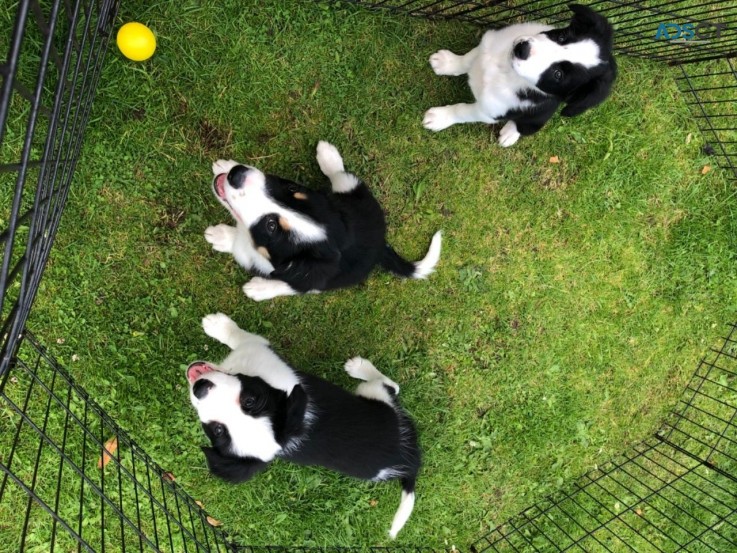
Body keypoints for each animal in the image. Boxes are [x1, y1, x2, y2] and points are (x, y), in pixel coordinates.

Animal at [185, 312, 420, 536]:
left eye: (249, 401)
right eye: (217, 430)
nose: (200, 388)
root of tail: (409, 461)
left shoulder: (262, 351)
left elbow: (239, 337)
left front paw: (217, 325)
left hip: (374, 396)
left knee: (391, 386)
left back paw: (359, 367)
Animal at [204, 140, 440, 300]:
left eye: (271, 226)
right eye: (292, 189)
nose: (236, 174)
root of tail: (381, 243)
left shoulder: (306, 274)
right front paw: (222, 235)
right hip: (351, 189)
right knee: (339, 175)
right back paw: (328, 155)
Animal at [420, 3, 616, 147]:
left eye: (558, 74)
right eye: (562, 37)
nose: (522, 48)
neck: (505, 68)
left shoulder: (488, 111)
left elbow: (462, 111)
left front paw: (439, 118)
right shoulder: (487, 45)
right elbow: (467, 60)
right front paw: (447, 63)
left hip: (538, 119)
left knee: (524, 127)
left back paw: (510, 134)